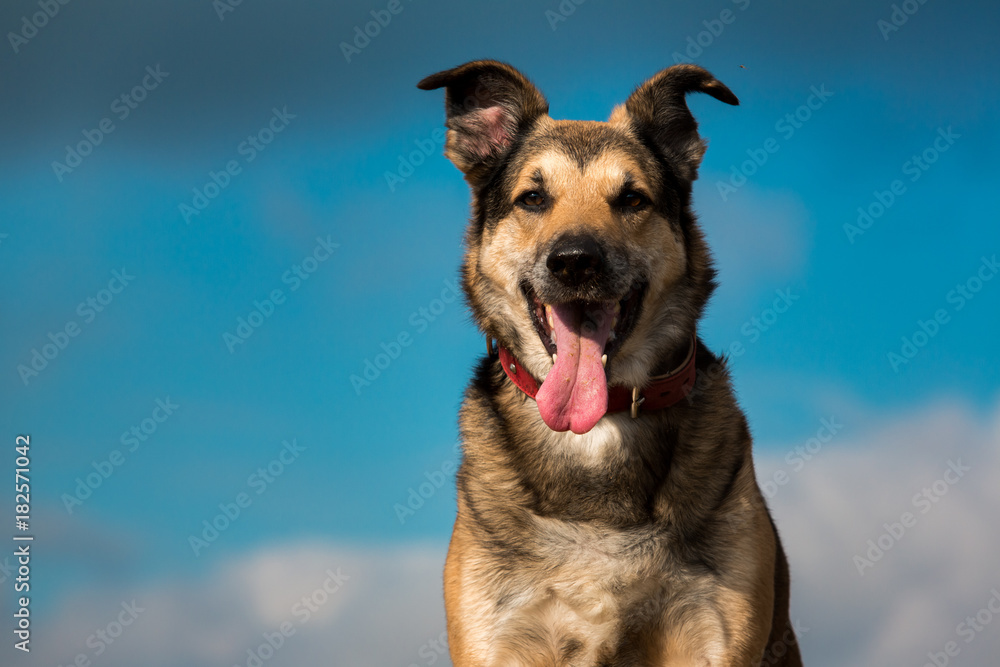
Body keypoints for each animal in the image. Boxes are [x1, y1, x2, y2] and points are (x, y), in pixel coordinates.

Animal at [418, 60, 800, 664]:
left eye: (632, 199)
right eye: (533, 198)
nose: (576, 262)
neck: (597, 428)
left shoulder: (712, 632)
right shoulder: (501, 637)